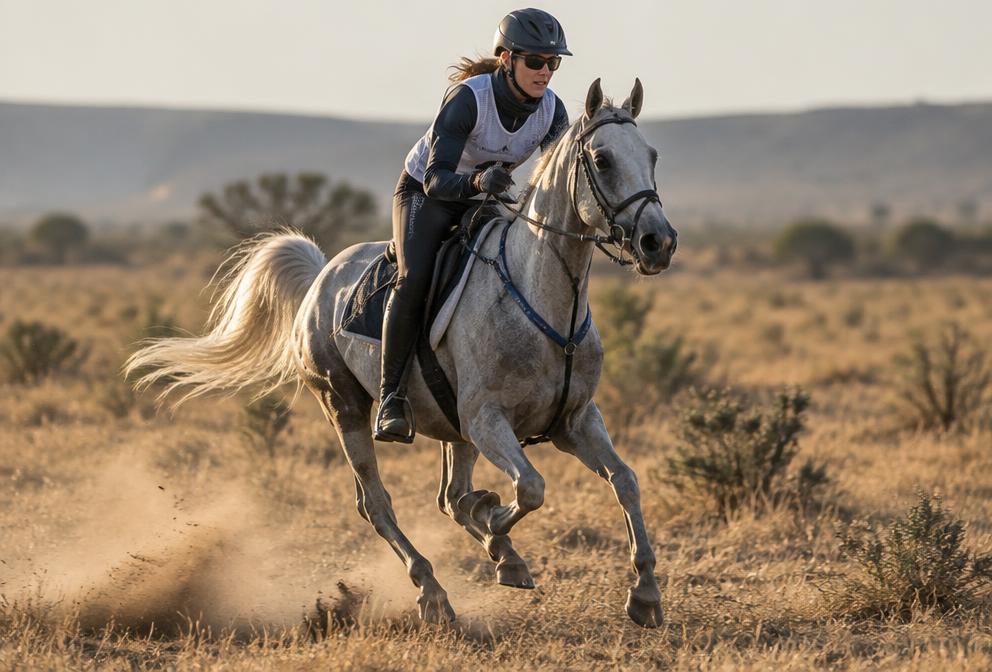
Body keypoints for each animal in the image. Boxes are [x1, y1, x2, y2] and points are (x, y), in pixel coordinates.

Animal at [127, 78, 677, 628]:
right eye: (602, 159)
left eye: (653, 155)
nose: (659, 242)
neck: (540, 298)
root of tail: (321, 279)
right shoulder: (487, 420)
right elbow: (530, 488)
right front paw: (492, 520)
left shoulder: (575, 421)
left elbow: (624, 481)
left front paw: (645, 594)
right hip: (346, 407)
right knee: (377, 504)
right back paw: (435, 591)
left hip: (451, 425)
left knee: (449, 497)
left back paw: (503, 556)